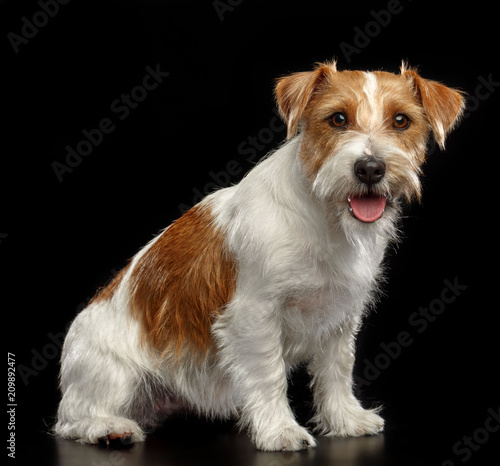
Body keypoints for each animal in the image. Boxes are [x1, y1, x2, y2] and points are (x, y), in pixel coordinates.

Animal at [54, 60, 464, 450]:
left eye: (401, 120)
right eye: (338, 119)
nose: (370, 168)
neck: (325, 220)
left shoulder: (340, 316)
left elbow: (336, 371)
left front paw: (345, 419)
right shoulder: (254, 316)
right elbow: (270, 376)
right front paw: (280, 431)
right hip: (112, 373)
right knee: (72, 418)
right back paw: (108, 428)